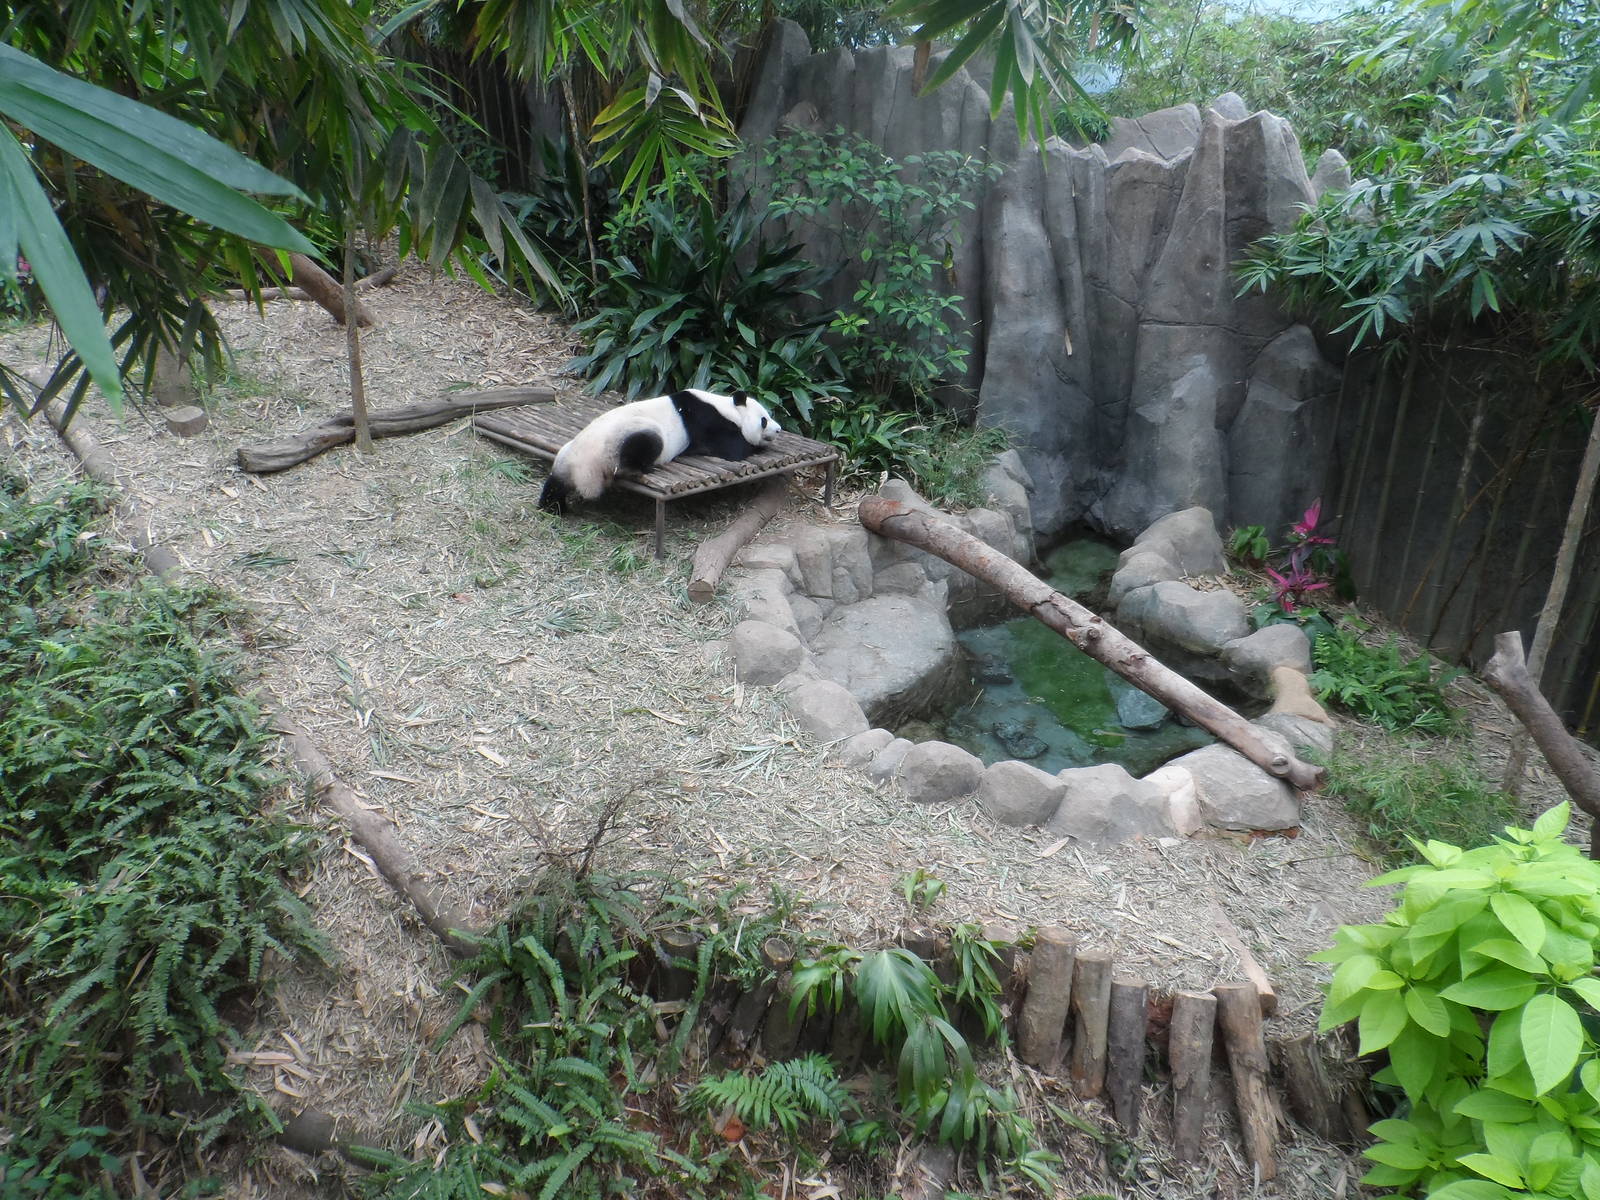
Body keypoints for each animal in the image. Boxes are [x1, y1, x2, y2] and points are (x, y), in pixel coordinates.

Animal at [538, 388, 782, 513]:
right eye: (764, 420)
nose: (779, 429)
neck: (727, 407)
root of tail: (581, 468)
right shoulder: (707, 422)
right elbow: (732, 450)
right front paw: (756, 445)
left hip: (564, 456)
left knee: (555, 483)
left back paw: (553, 507)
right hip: (623, 439)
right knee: (646, 443)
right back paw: (639, 468)